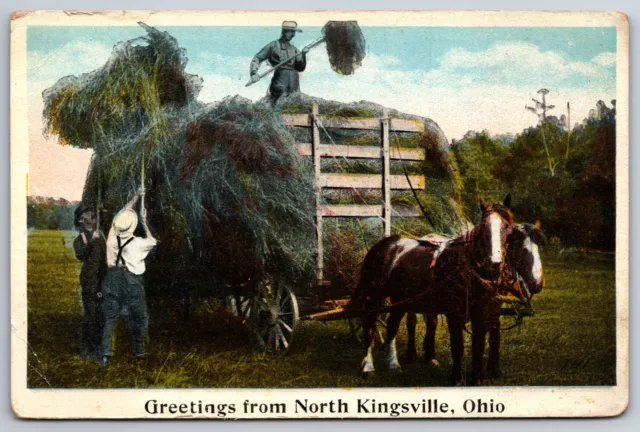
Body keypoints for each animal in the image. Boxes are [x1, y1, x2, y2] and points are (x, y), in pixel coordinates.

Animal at [350, 195, 516, 384]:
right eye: (482, 228)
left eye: (507, 226)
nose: (495, 263)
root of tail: (383, 244)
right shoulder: (454, 312)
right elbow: (457, 346)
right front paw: (456, 379)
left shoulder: (483, 310)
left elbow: (479, 346)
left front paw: (477, 380)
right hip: (374, 296)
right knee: (369, 326)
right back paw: (368, 366)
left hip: (400, 299)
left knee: (392, 325)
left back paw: (393, 364)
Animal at [404, 223, 544, 378]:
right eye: (523, 249)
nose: (538, 284)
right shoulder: (456, 310)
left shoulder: (493, 305)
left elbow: (492, 335)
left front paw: (493, 369)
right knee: (412, 321)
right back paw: (411, 354)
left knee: (431, 323)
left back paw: (430, 357)